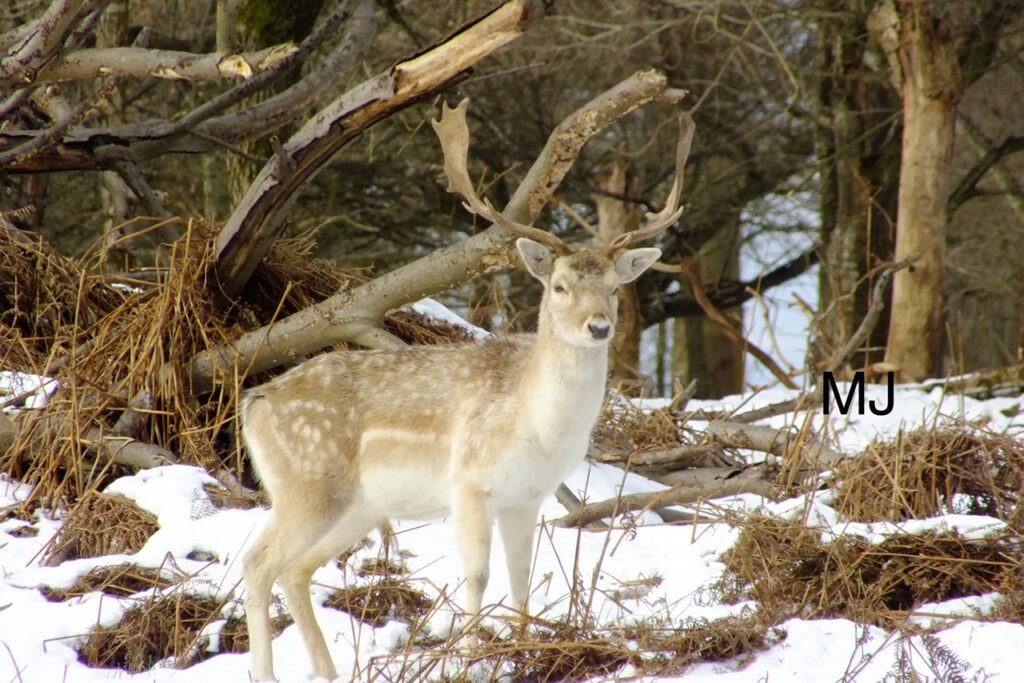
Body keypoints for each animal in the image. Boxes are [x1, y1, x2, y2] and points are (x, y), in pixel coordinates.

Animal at [240, 99, 694, 682]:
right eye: (559, 286)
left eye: (616, 289)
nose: (599, 327)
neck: (539, 428)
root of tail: (254, 403)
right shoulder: (471, 483)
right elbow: (478, 575)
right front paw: (472, 657)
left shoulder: (528, 497)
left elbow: (522, 575)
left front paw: (526, 650)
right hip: (308, 485)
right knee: (258, 563)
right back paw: (267, 672)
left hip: (354, 506)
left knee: (293, 569)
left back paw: (329, 671)